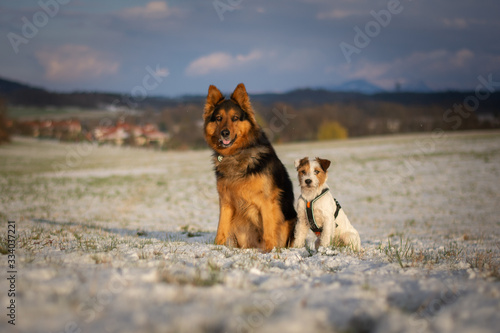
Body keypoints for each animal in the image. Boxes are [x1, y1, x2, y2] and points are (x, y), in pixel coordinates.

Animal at [203, 83, 296, 249]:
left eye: (235, 118)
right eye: (219, 118)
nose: (225, 133)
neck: (236, 154)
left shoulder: (267, 202)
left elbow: (268, 230)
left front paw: (270, 250)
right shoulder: (225, 202)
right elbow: (221, 228)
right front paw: (217, 247)